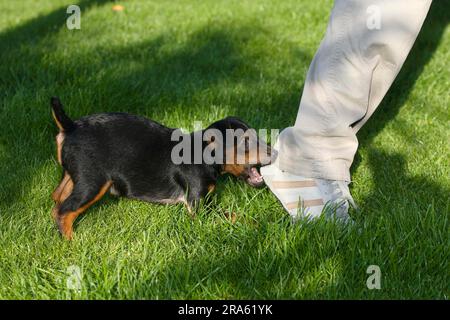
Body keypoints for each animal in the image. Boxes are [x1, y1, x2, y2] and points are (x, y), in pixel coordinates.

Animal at [49, 96, 274, 239]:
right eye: (246, 141)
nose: (275, 152)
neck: (204, 154)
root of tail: (70, 127)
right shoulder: (198, 206)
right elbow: (233, 216)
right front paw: (260, 225)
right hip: (93, 182)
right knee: (64, 211)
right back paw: (73, 243)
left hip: (73, 177)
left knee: (56, 199)